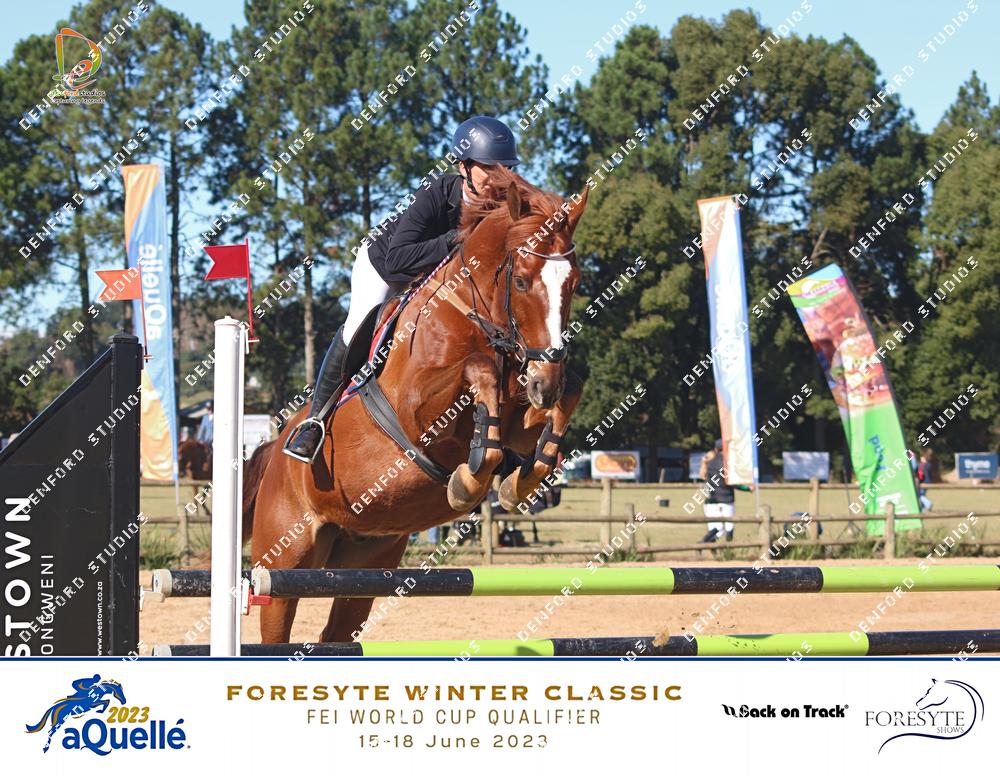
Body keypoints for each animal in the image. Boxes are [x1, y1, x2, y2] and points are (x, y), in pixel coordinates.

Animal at [243, 168, 588, 643]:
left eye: (574, 284)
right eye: (520, 281)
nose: (544, 384)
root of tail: (273, 452)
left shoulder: (521, 416)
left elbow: (565, 398)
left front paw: (516, 482)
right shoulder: (418, 414)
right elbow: (478, 370)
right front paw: (471, 480)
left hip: (366, 559)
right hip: (282, 563)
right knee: (275, 621)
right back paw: (307, 438)